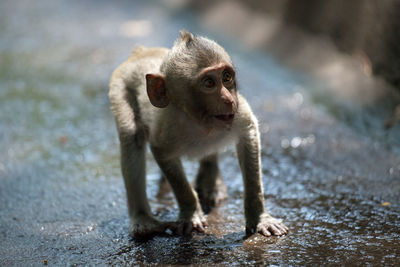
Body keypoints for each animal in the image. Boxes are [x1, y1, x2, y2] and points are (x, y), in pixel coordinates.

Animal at [108, 29, 290, 239]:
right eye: (209, 83)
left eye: (227, 77)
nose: (228, 99)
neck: (199, 122)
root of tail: (140, 52)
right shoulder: (165, 128)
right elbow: (169, 166)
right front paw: (190, 214)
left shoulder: (239, 113)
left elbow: (249, 136)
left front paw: (260, 217)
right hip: (119, 86)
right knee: (131, 135)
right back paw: (144, 219)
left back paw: (211, 180)